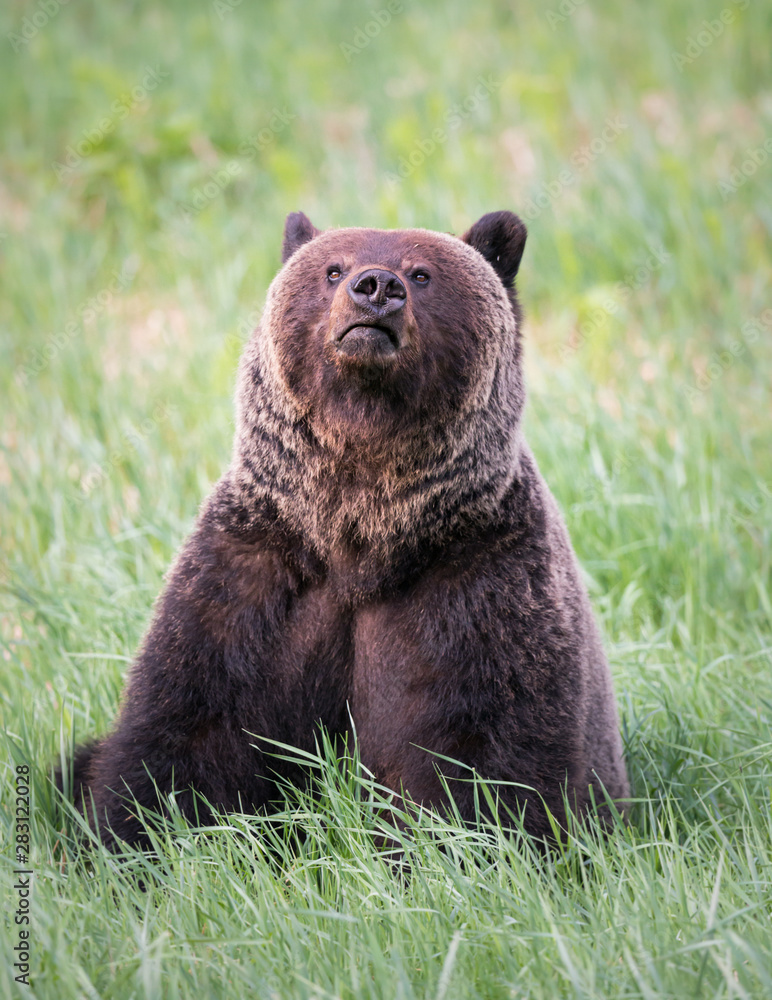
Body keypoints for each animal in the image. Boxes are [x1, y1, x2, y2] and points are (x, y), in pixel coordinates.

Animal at [62, 210, 629, 850]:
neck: (360, 534)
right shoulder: (253, 575)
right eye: (333, 268)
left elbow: (488, 756)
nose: (376, 286)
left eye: (422, 273)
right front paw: (131, 837)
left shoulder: (482, 578)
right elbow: (186, 728)